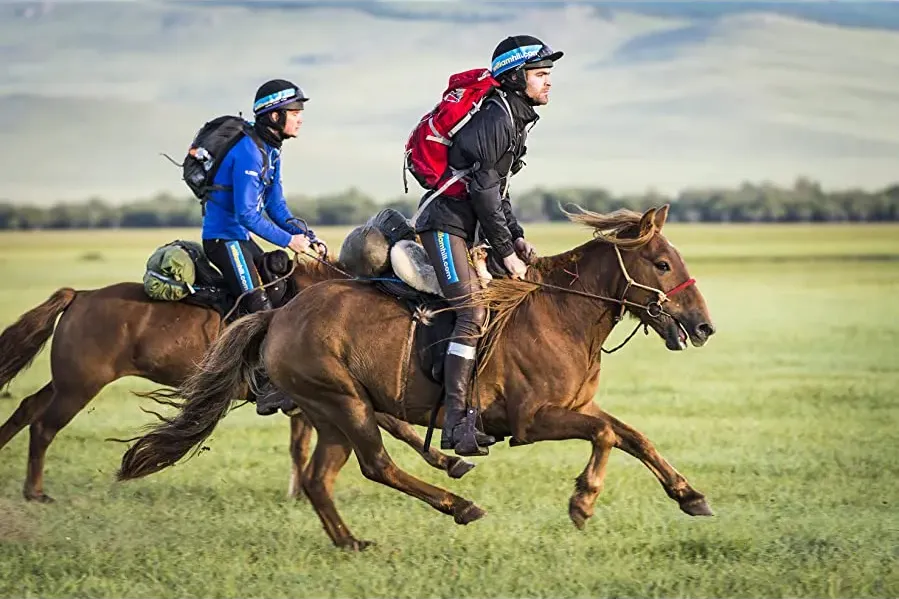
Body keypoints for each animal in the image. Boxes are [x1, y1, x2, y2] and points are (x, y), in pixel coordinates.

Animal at [0, 250, 474, 502]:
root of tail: (78, 295)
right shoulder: (332, 394)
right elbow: (394, 427)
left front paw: (449, 461)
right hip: (79, 388)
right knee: (43, 426)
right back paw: (35, 492)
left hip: (65, 382)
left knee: (26, 408)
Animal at [117, 205, 718, 550]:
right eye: (662, 264)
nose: (703, 326)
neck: (561, 313)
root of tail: (277, 315)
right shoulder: (533, 422)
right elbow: (609, 435)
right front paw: (583, 502)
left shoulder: (575, 409)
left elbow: (635, 435)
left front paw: (689, 494)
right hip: (346, 405)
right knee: (377, 466)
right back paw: (458, 504)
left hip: (331, 414)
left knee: (320, 480)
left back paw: (352, 542)